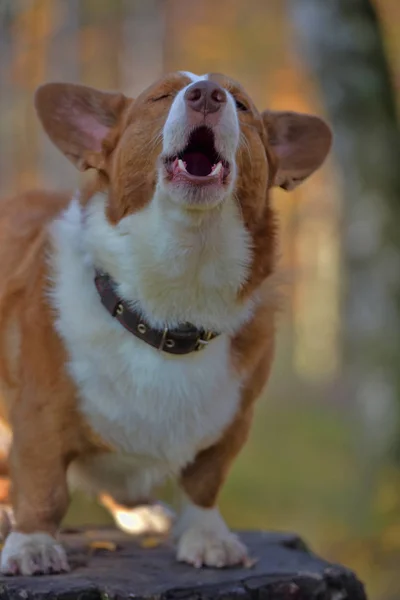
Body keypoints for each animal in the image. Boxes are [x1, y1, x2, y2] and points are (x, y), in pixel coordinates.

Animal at [0, 71, 332, 576]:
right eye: (159, 97)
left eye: (241, 104)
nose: (207, 94)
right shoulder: (38, 414)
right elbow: (43, 484)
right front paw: (32, 544)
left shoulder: (232, 421)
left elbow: (204, 481)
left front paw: (208, 538)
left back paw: (142, 511)